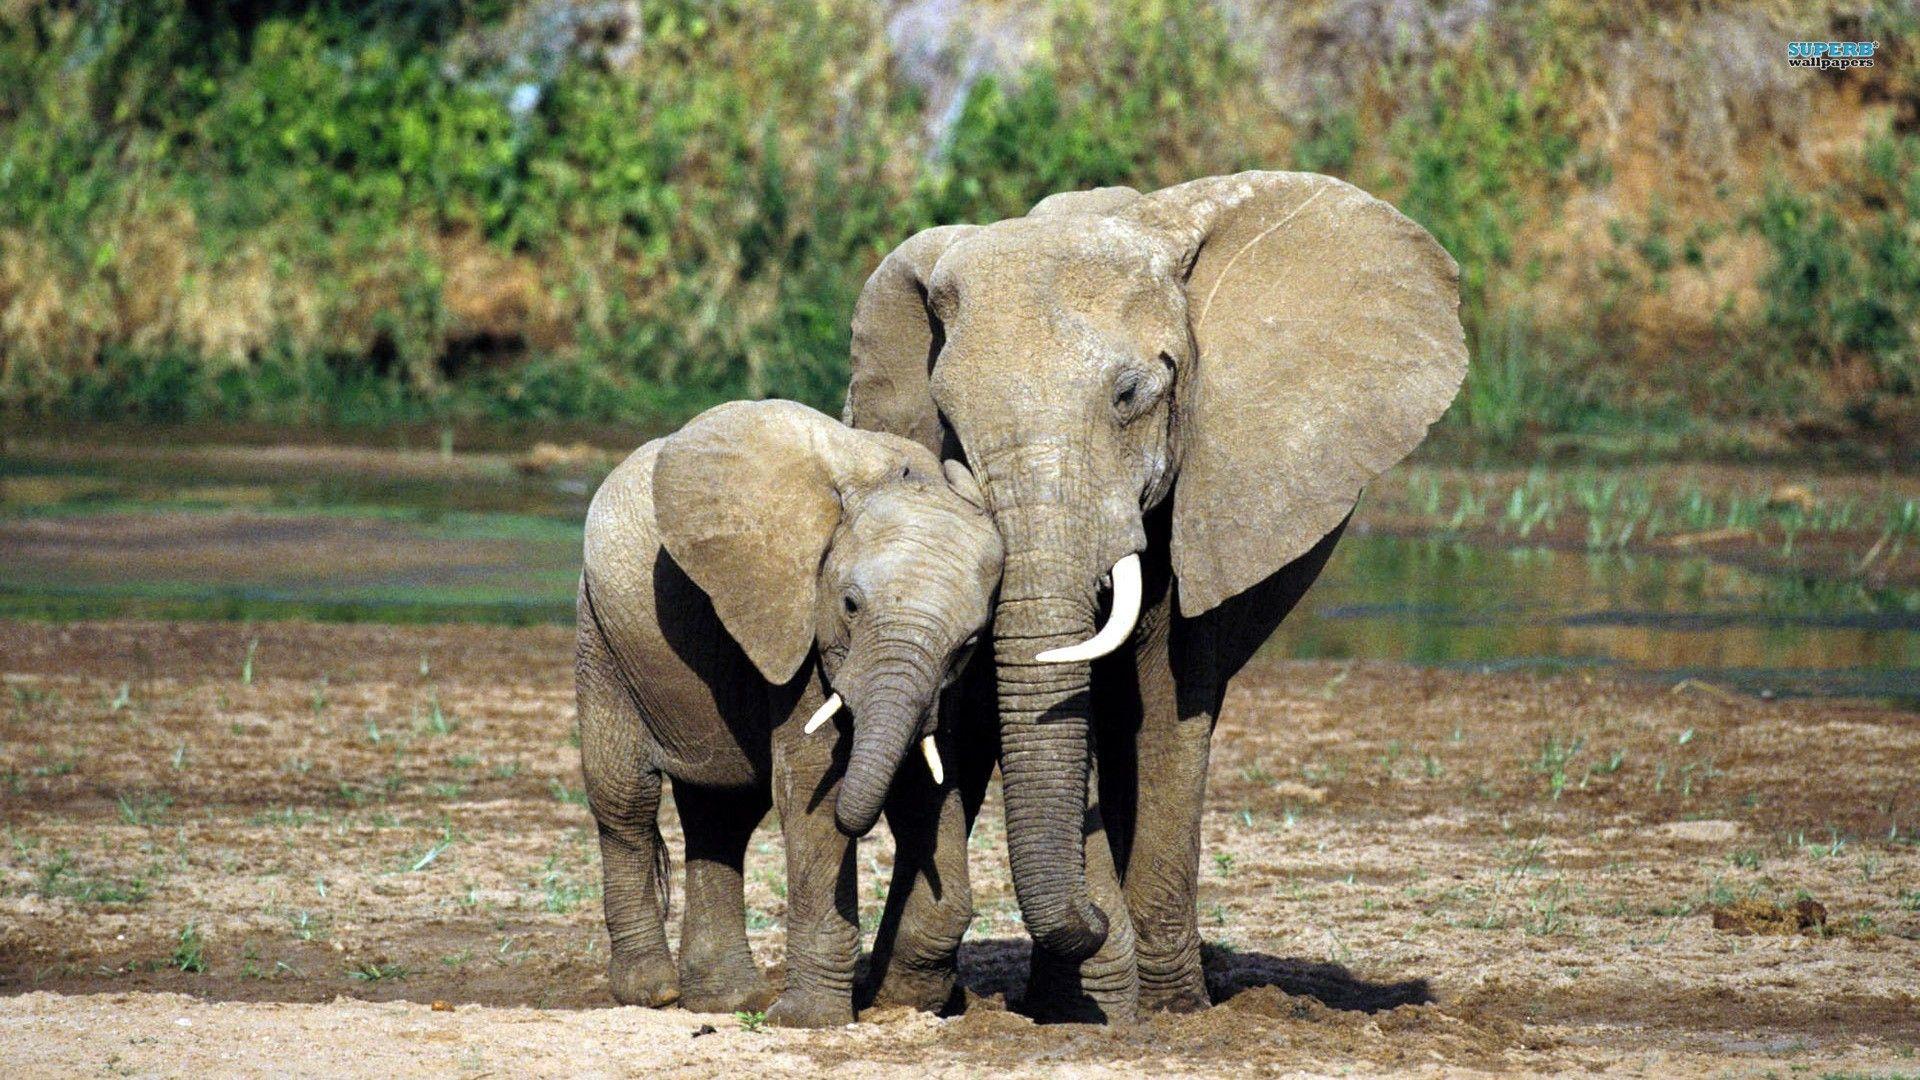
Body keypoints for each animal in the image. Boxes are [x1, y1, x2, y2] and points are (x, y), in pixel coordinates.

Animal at [575, 399, 1003, 1027]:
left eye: (971, 642)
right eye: (849, 605)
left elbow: (926, 785)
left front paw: (908, 1003)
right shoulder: (797, 625)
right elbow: (812, 785)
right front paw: (808, 1021)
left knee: (721, 815)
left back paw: (727, 1001)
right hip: (602, 636)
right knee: (625, 800)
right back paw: (656, 993)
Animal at [842, 171, 1467, 1022]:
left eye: (1130, 395)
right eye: (948, 422)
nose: (1093, 917)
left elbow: (1171, 699)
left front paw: (1165, 1007)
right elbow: (990, 703)